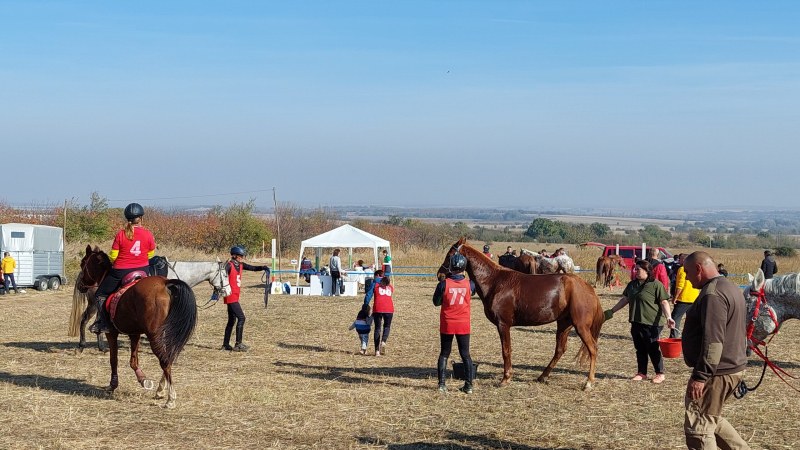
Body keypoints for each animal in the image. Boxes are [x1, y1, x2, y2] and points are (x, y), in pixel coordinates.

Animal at [73, 246, 197, 408]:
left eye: (83, 264)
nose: (80, 285)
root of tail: (166, 284)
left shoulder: (111, 333)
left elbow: (114, 359)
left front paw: (112, 385)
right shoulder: (134, 333)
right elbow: (133, 361)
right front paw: (142, 379)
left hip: (154, 335)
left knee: (165, 361)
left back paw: (170, 398)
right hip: (165, 333)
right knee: (168, 357)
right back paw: (160, 389)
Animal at [440, 239, 604, 390]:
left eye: (449, 255)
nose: (440, 274)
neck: (495, 281)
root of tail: (587, 288)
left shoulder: (503, 324)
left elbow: (506, 350)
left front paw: (506, 378)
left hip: (580, 327)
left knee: (593, 349)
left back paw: (589, 382)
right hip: (564, 324)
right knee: (560, 350)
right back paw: (543, 376)